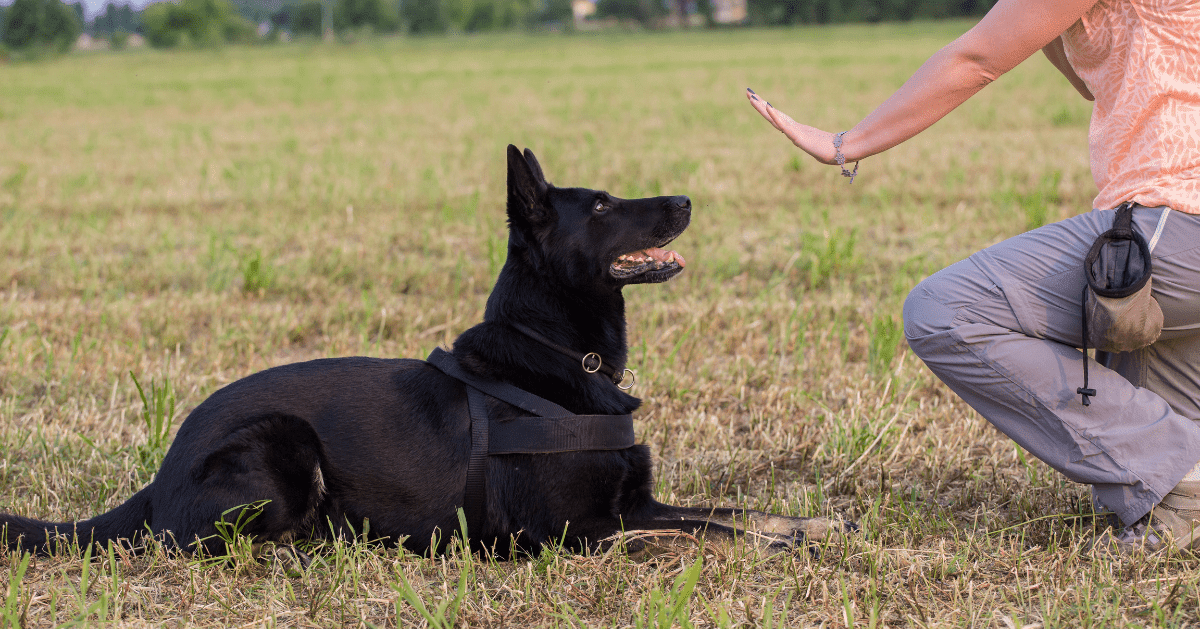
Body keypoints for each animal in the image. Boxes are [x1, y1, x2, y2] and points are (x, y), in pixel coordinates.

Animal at [2, 148, 844, 559]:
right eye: (604, 205)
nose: (686, 200)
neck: (558, 358)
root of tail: (162, 471)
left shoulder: (633, 500)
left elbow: (727, 512)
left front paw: (808, 526)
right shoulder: (578, 531)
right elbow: (693, 531)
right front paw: (779, 548)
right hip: (282, 444)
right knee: (215, 544)